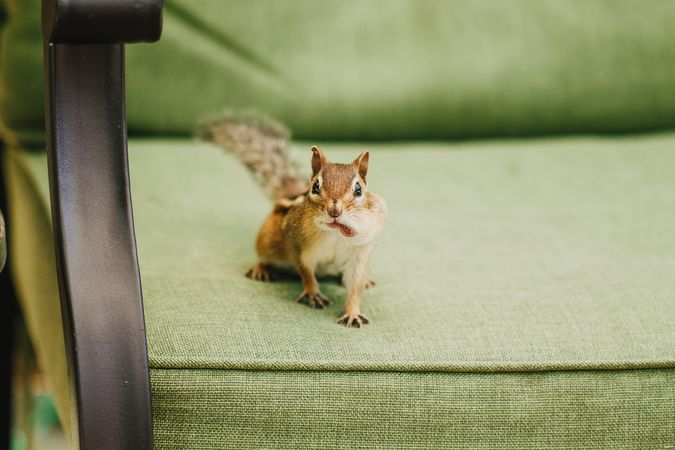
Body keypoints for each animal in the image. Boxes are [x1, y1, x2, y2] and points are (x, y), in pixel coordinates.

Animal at [199, 110, 386, 326]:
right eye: (315, 187)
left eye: (358, 189)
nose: (334, 211)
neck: (334, 233)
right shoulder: (297, 244)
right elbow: (305, 271)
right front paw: (313, 293)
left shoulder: (360, 253)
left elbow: (355, 286)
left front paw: (353, 311)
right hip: (268, 241)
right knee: (264, 256)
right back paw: (261, 269)